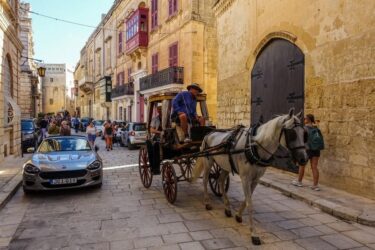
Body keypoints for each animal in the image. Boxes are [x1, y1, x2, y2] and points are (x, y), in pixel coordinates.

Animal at [194, 109, 308, 244]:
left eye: (304, 133)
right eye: (292, 134)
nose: (303, 159)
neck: (254, 146)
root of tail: (209, 133)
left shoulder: (255, 179)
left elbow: (246, 200)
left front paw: (238, 215)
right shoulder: (245, 178)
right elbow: (250, 204)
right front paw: (253, 234)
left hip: (225, 166)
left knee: (220, 180)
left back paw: (227, 207)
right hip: (208, 162)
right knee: (205, 180)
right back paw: (207, 202)